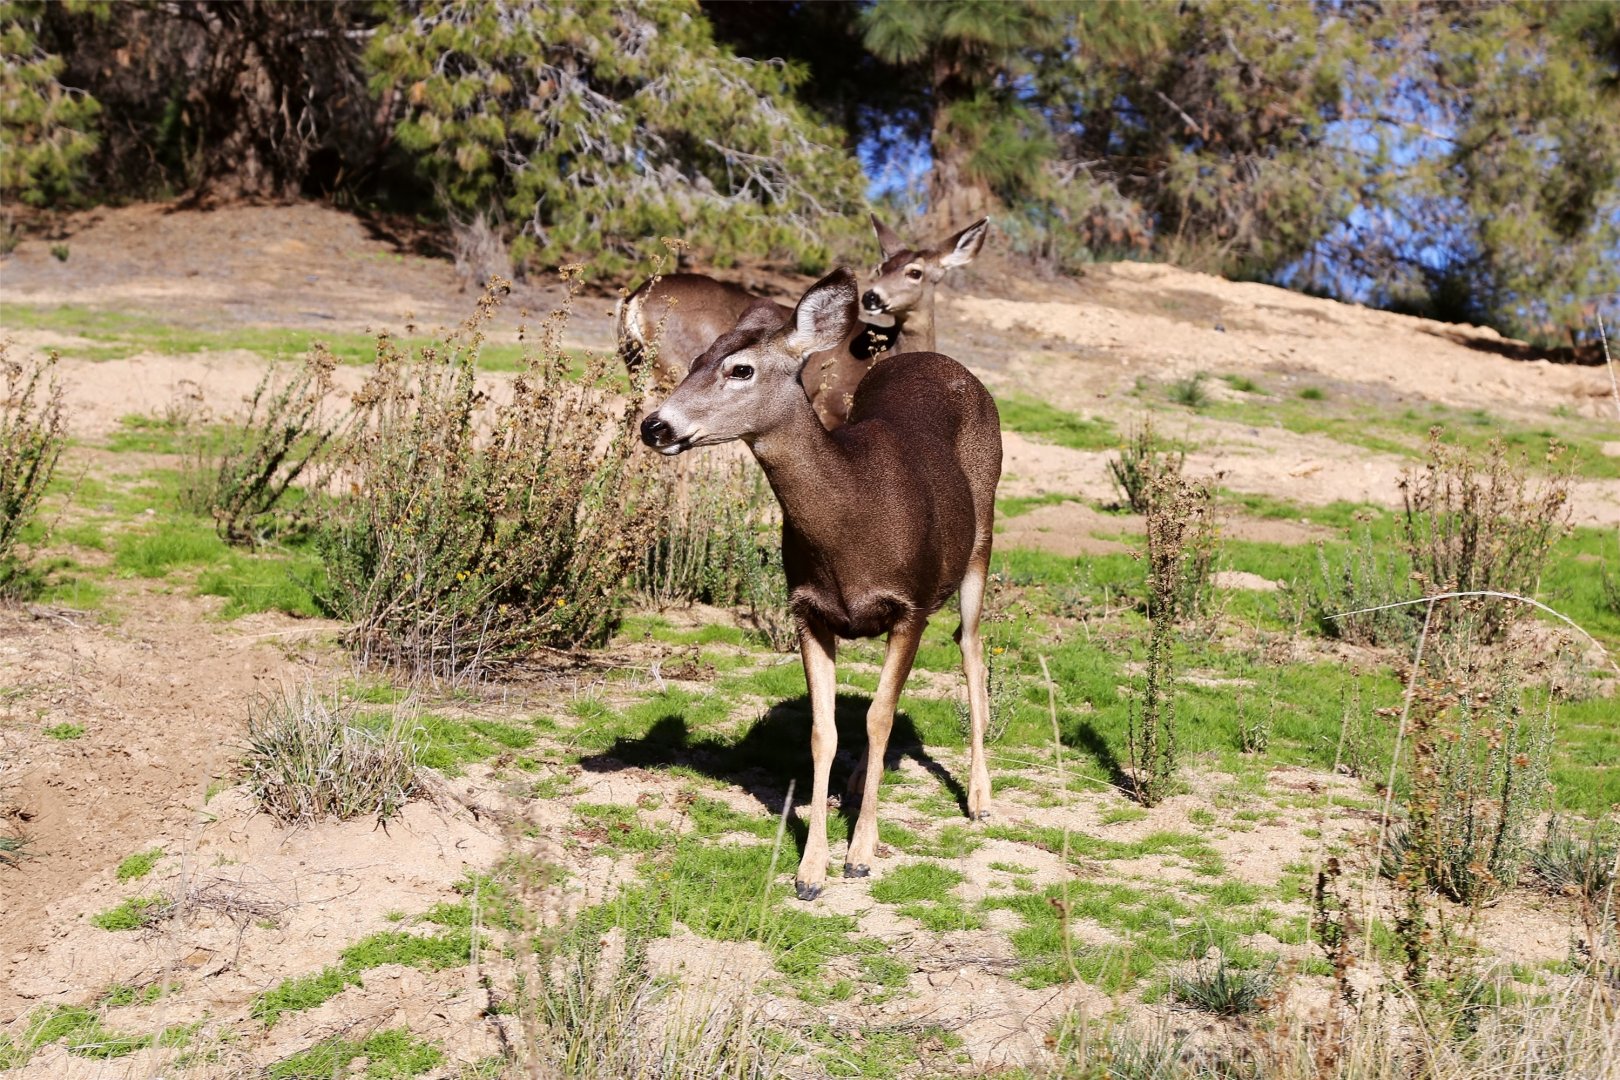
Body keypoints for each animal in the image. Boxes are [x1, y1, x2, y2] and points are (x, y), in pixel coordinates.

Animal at [638, 268, 1003, 901]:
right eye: (694, 362)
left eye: (740, 370)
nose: (655, 425)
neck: (850, 521)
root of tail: (941, 359)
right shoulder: (807, 610)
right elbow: (825, 730)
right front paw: (810, 869)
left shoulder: (910, 605)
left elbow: (880, 717)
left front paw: (861, 854)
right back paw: (858, 783)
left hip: (980, 541)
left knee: (971, 648)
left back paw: (980, 798)